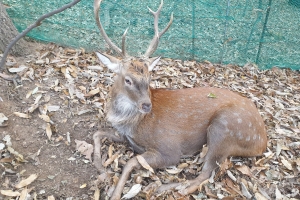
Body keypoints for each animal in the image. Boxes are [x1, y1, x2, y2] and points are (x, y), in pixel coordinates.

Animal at [92, 0, 268, 198]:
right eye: (127, 80)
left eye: (149, 78)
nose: (147, 105)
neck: (131, 123)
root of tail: (262, 141)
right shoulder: (126, 136)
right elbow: (97, 133)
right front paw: (100, 167)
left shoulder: (169, 149)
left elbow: (130, 162)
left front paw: (114, 193)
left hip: (225, 128)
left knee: (205, 174)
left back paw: (166, 188)